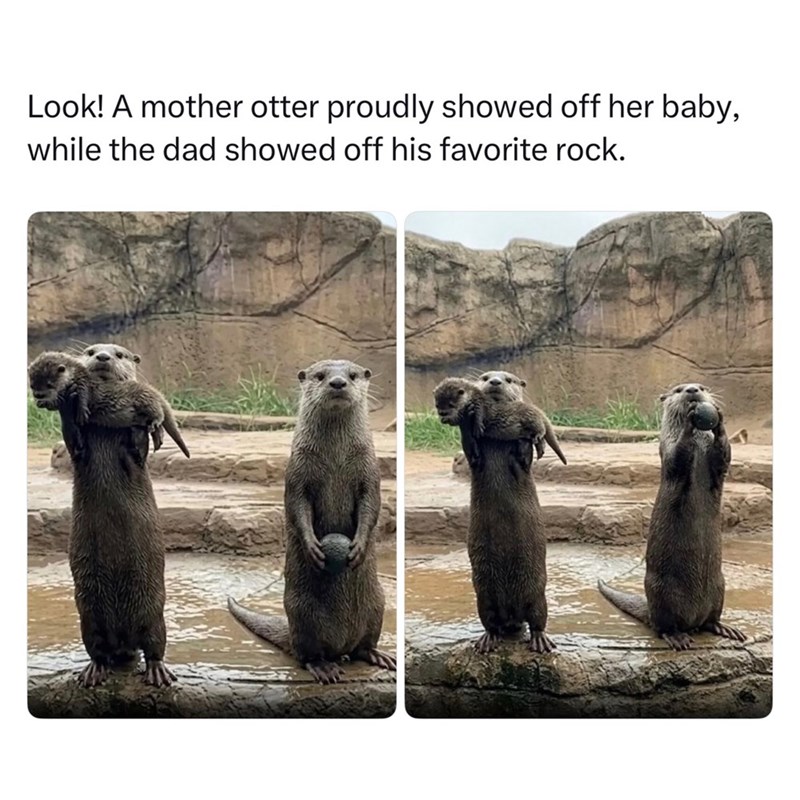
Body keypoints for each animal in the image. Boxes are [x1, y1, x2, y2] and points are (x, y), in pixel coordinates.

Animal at [51, 342, 176, 687]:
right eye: (91, 350)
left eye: (119, 354)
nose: (103, 357)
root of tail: (123, 642)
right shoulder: (78, 449)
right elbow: (74, 441)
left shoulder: (135, 455)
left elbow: (137, 450)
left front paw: (141, 424)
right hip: (88, 617)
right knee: (97, 648)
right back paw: (94, 670)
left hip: (154, 612)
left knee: (155, 644)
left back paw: (158, 671)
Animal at [228, 359, 395, 684]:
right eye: (320, 376)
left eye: (352, 375)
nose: (338, 383)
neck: (336, 460)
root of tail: (341, 646)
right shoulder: (297, 471)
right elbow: (297, 506)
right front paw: (313, 548)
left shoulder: (370, 470)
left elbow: (371, 505)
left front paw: (359, 546)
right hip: (301, 614)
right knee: (306, 654)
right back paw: (323, 667)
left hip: (378, 602)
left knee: (363, 645)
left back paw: (377, 655)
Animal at [434, 376, 567, 466]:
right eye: (437, 405)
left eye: (451, 404)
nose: (442, 414)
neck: (473, 395)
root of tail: (537, 409)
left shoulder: (480, 403)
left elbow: (480, 414)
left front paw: (478, 427)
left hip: (530, 416)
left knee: (541, 427)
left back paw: (539, 435)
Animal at [445, 369, 555, 654]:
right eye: (485, 377)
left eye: (509, 379)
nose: (494, 381)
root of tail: (512, 616)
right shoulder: (475, 457)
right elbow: (471, 451)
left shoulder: (522, 461)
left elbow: (524, 456)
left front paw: (527, 438)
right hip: (484, 597)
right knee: (490, 621)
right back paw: (488, 639)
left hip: (537, 593)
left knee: (538, 618)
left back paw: (540, 640)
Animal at [597, 382, 747, 650]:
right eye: (678, 390)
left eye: (702, 387)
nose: (692, 390)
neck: (699, 446)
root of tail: (693, 619)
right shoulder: (667, 450)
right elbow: (677, 456)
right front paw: (689, 421)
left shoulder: (718, 464)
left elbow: (724, 455)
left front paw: (719, 421)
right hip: (661, 592)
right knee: (663, 626)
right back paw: (677, 637)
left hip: (720, 585)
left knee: (711, 619)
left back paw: (724, 627)